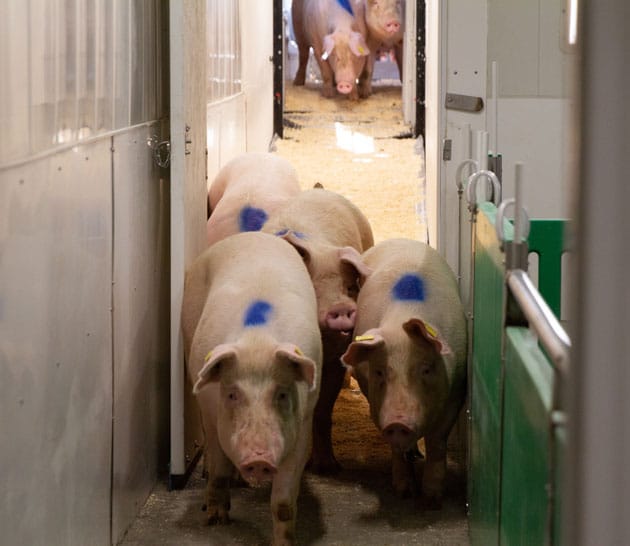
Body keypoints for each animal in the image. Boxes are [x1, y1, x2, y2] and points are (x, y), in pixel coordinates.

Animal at [181, 231, 324, 544]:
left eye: (282, 393)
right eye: (232, 394)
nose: (259, 459)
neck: (258, 342)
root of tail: (253, 235)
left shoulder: (303, 424)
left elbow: (283, 504)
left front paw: (284, 542)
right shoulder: (212, 411)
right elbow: (219, 468)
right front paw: (215, 520)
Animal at [262, 187, 376, 472]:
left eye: (350, 287)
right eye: (312, 287)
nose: (342, 307)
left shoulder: (335, 358)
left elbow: (323, 412)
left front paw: (328, 467)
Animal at [340, 238, 470, 506]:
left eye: (426, 369)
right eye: (380, 372)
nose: (398, 422)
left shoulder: (456, 391)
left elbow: (437, 441)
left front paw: (432, 499)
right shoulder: (374, 399)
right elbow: (395, 448)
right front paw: (404, 492)